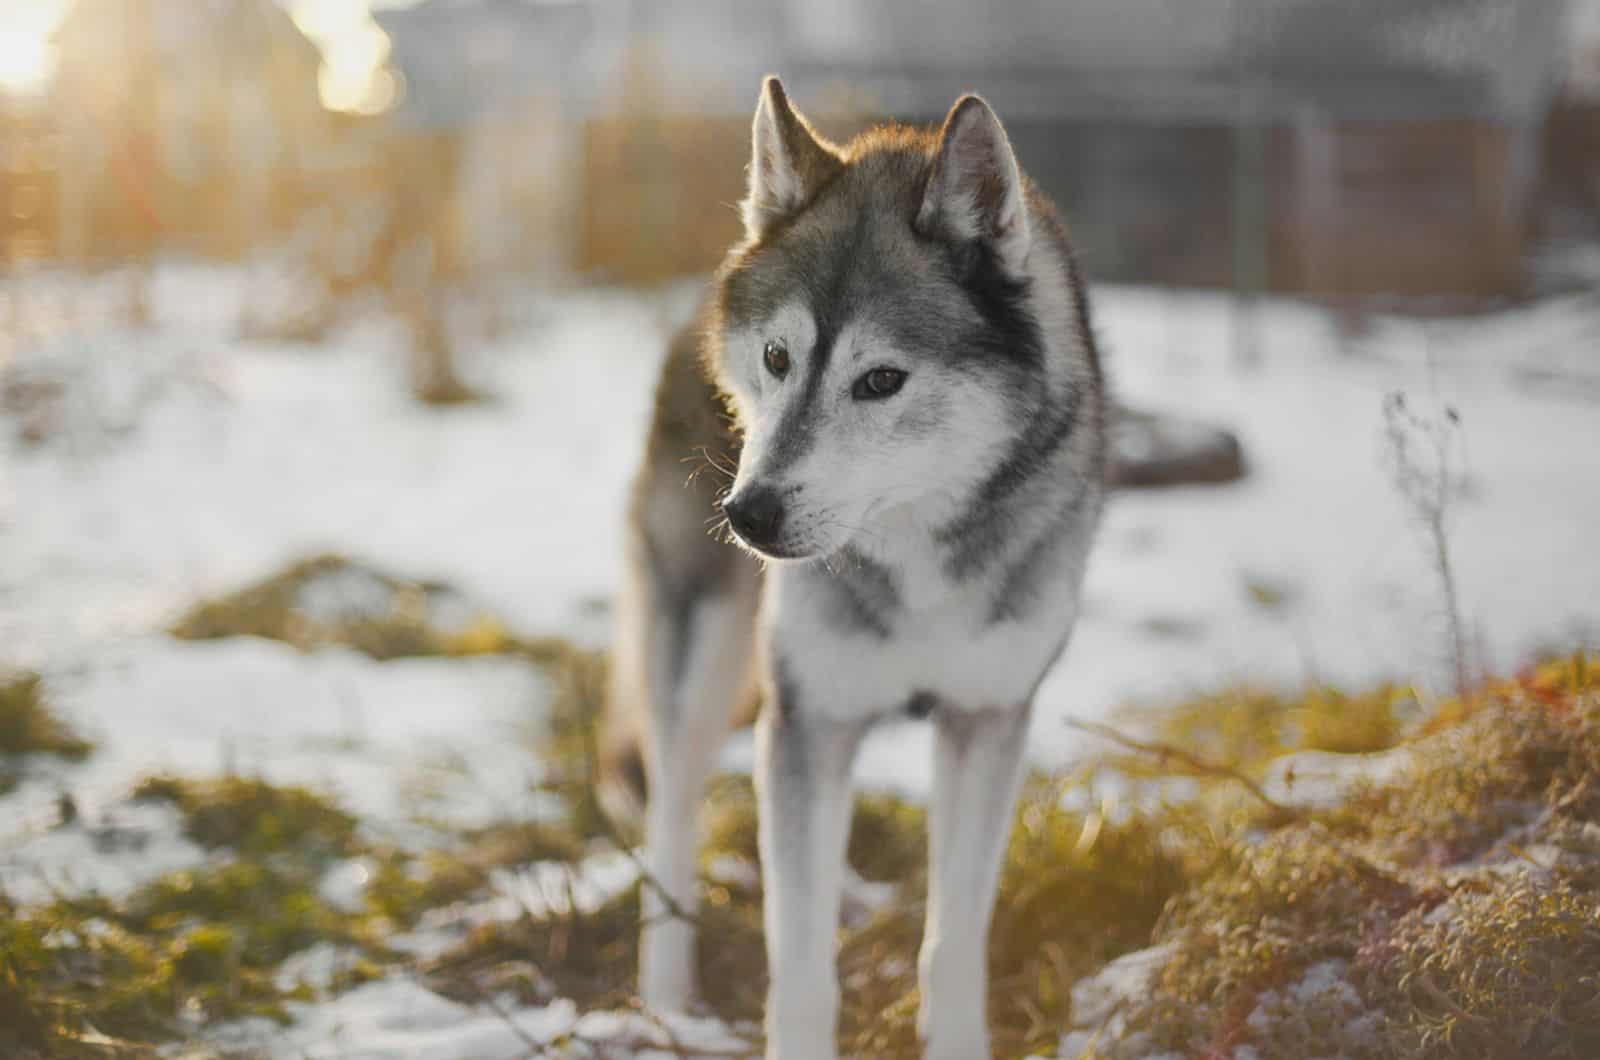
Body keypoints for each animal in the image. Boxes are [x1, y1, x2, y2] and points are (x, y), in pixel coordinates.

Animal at [604, 76, 1107, 1060]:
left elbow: (951, 946)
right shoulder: (813, 716)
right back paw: (669, 1003)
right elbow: (798, 973)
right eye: (777, 358)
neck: (916, 554)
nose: (750, 513)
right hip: (703, 664)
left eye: (880, 380)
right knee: (672, 816)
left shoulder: (985, 721)